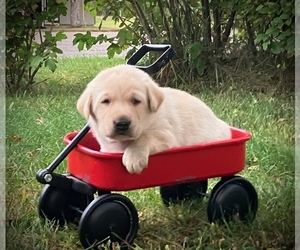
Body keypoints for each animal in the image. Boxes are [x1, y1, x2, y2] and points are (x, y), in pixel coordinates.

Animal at [77, 64, 230, 174]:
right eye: (106, 101)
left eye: (136, 101)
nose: (122, 124)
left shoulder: (166, 134)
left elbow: (144, 137)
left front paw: (134, 157)